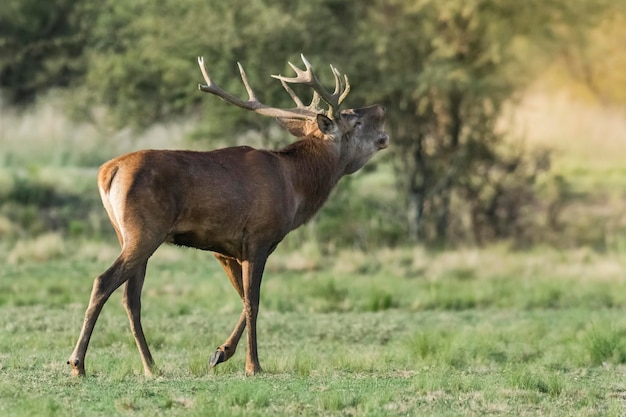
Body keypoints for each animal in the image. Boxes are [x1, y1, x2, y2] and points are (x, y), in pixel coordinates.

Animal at [64, 53, 386, 376]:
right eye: (354, 120)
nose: (381, 108)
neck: (295, 186)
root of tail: (108, 171)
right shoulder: (259, 237)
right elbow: (253, 301)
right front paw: (253, 365)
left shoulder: (226, 248)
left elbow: (243, 298)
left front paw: (220, 352)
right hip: (144, 232)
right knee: (104, 281)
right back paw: (78, 363)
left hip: (126, 234)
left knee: (131, 298)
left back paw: (151, 366)